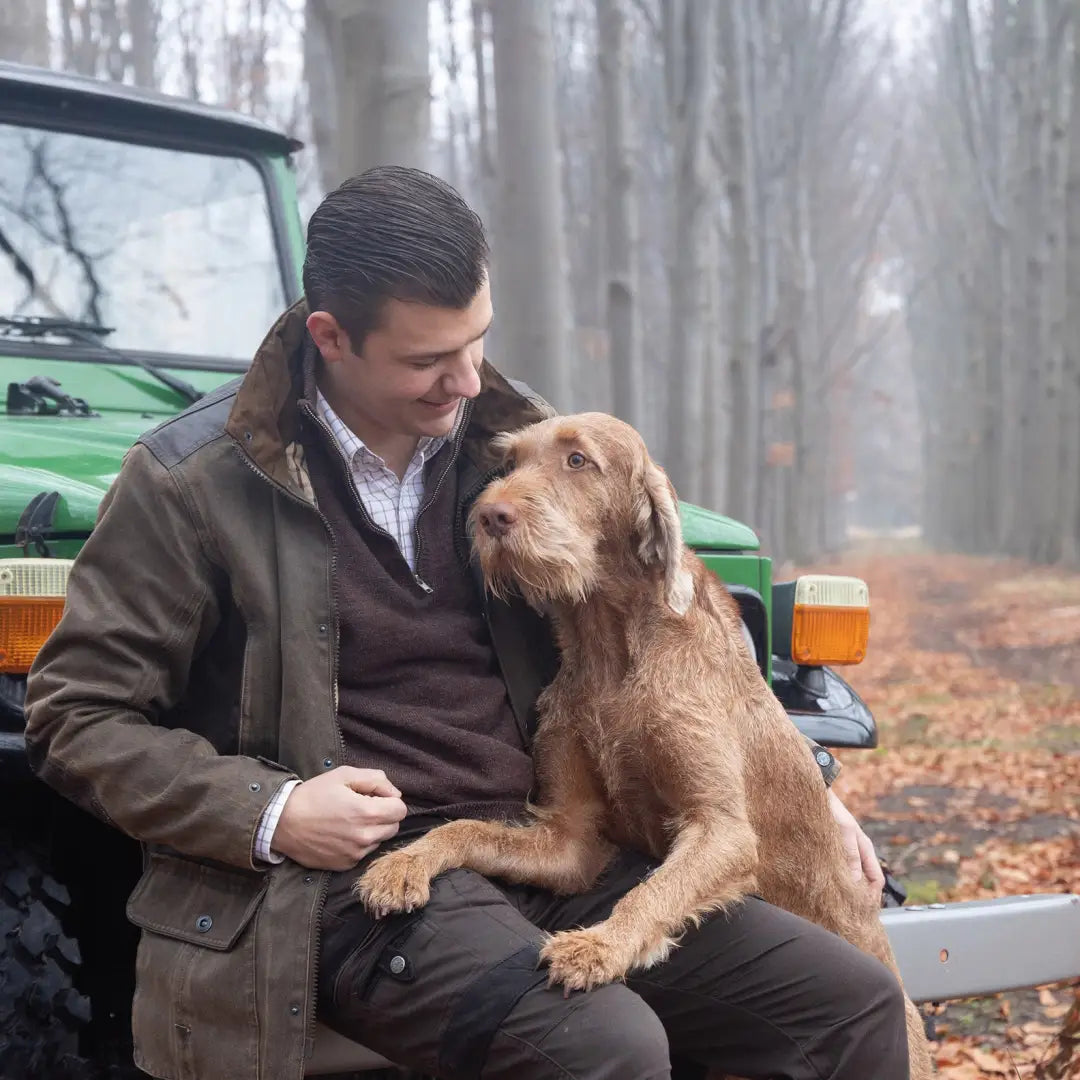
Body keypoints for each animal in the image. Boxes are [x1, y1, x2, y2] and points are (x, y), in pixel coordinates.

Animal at [358, 412, 933, 1080]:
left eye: (578, 460)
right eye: (512, 461)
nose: (490, 516)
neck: (611, 647)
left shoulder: (721, 830)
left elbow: (652, 891)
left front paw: (597, 945)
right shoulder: (570, 842)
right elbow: (466, 829)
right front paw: (405, 861)